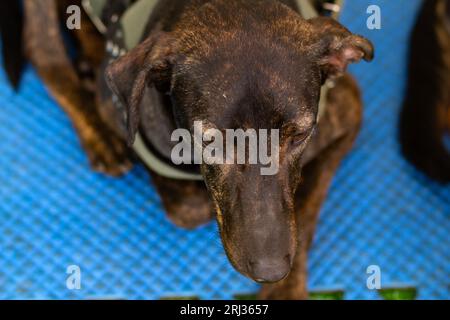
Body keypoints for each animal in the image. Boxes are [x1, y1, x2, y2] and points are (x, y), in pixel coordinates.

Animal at [22, 0, 372, 300]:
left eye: (299, 135)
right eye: (211, 142)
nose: (271, 271)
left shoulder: (347, 110)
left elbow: (306, 201)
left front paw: (286, 289)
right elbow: (193, 206)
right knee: (45, 58)